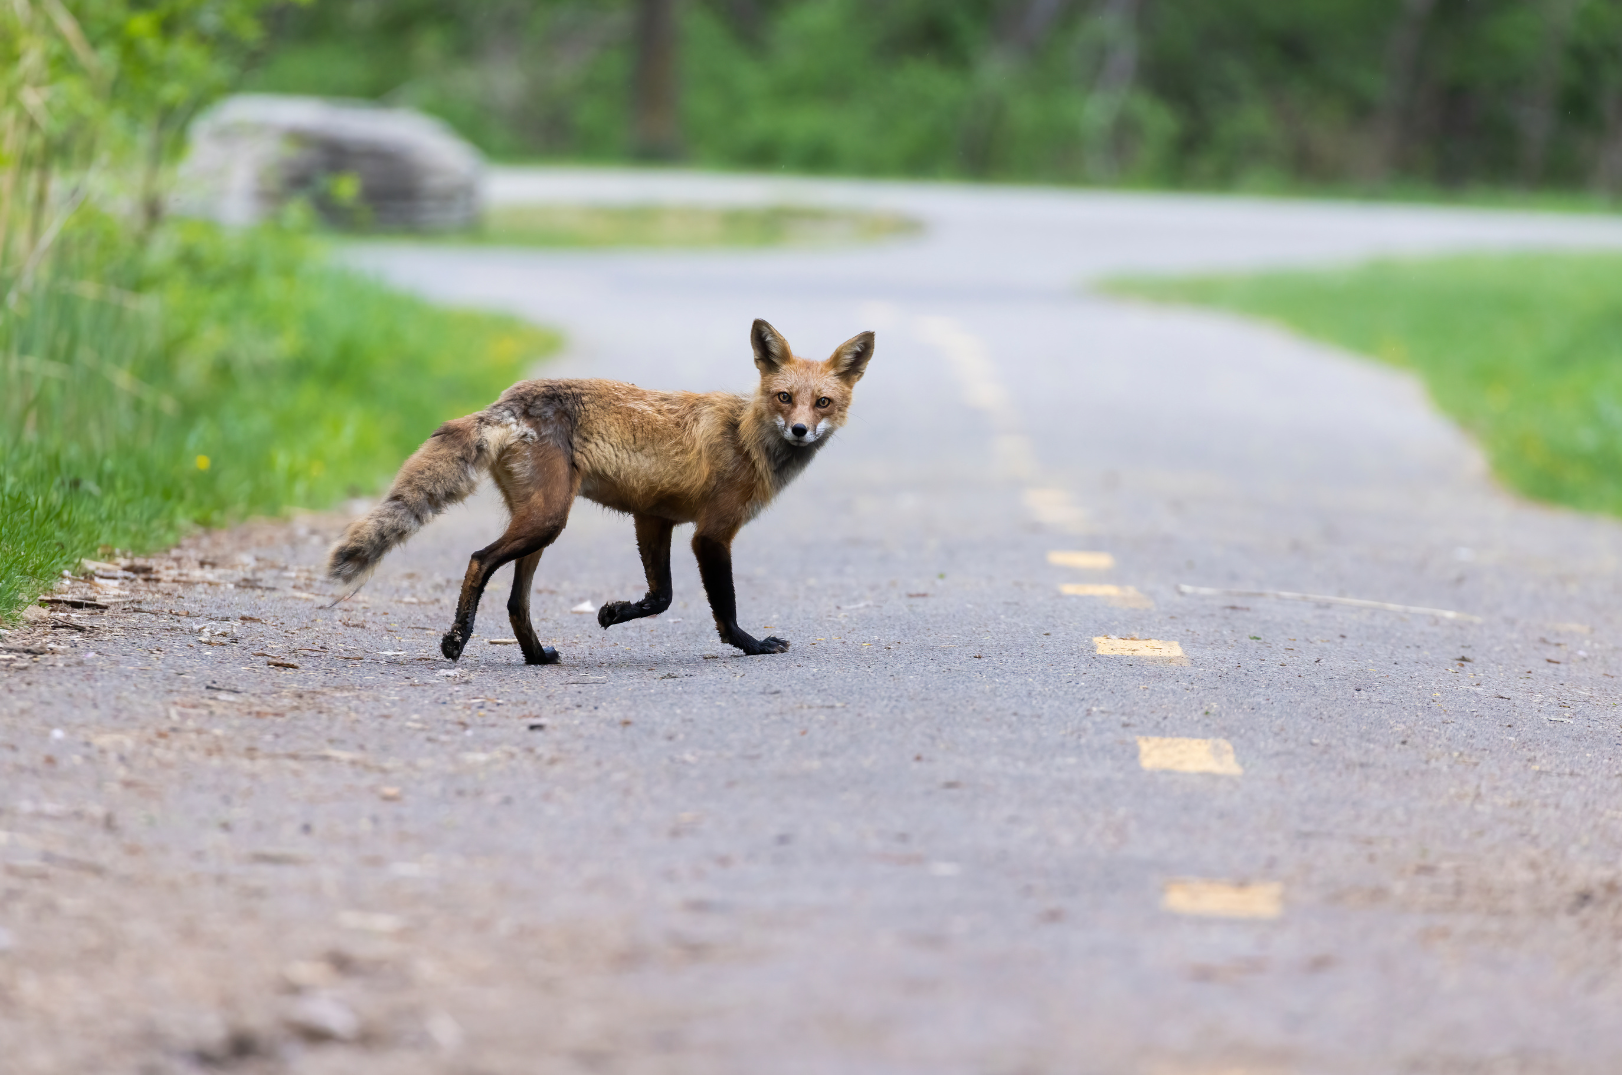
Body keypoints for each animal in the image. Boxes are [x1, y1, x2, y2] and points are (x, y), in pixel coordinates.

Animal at [325, 319, 875, 665]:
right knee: (480, 560)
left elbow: (661, 597)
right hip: (547, 520)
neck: (745, 437)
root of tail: (508, 399)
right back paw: (457, 640)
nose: (800, 430)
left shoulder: (653, 518)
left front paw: (613, 613)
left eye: (822, 403)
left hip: (539, 524)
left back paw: (536, 656)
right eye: (784, 397)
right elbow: (723, 607)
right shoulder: (711, 534)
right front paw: (751, 645)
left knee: (516, 602)